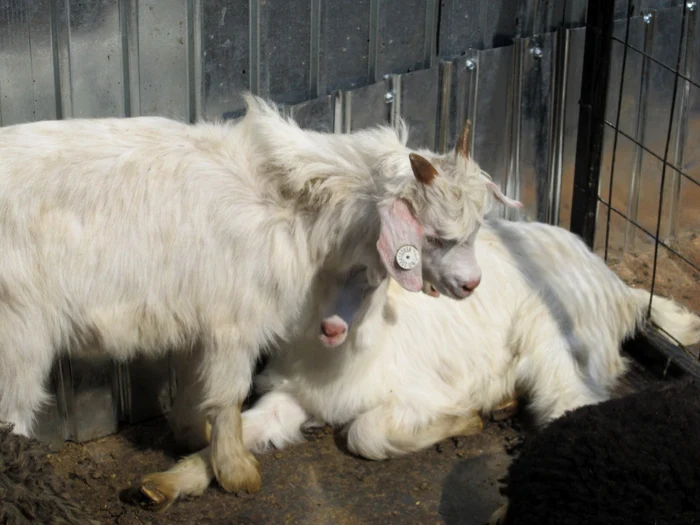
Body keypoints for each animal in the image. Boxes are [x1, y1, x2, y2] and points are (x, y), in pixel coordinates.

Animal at [1, 95, 516, 496]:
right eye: (435, 236)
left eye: (476, 226)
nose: (471, 284)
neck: (290, 201)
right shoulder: (235, 319)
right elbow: (230, 394)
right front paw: (236, 473)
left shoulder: (199, 316)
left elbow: (196, 384)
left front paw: (194, 437)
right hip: (20, 333)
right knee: (12, 418)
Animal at [141, 212, 700, 508]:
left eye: (370, 275)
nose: (332, 328)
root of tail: (618, 287)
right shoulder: (291, 398)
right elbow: (242, 432)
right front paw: (165, 484)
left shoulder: (417, 394)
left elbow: (365, 433)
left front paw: (464, 421)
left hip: (553, 341)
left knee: (571, 403)